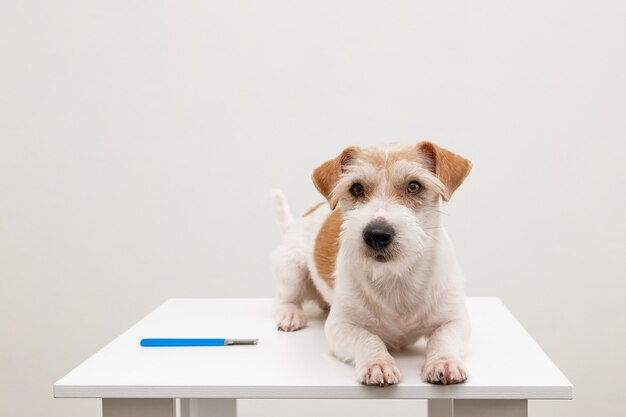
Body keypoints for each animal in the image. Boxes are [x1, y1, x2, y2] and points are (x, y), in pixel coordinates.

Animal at [270, 141, 470, 386]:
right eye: (356, 188)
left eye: (414, 186)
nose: (377, 234)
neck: (396, 277)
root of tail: (296, 221)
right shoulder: (340, 326)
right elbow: (367, 337)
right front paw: (378, 363)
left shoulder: (456, 320)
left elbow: (442, 337)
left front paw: (443, 361)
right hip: (292, 269)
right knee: (286, 299)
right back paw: (291, 314)